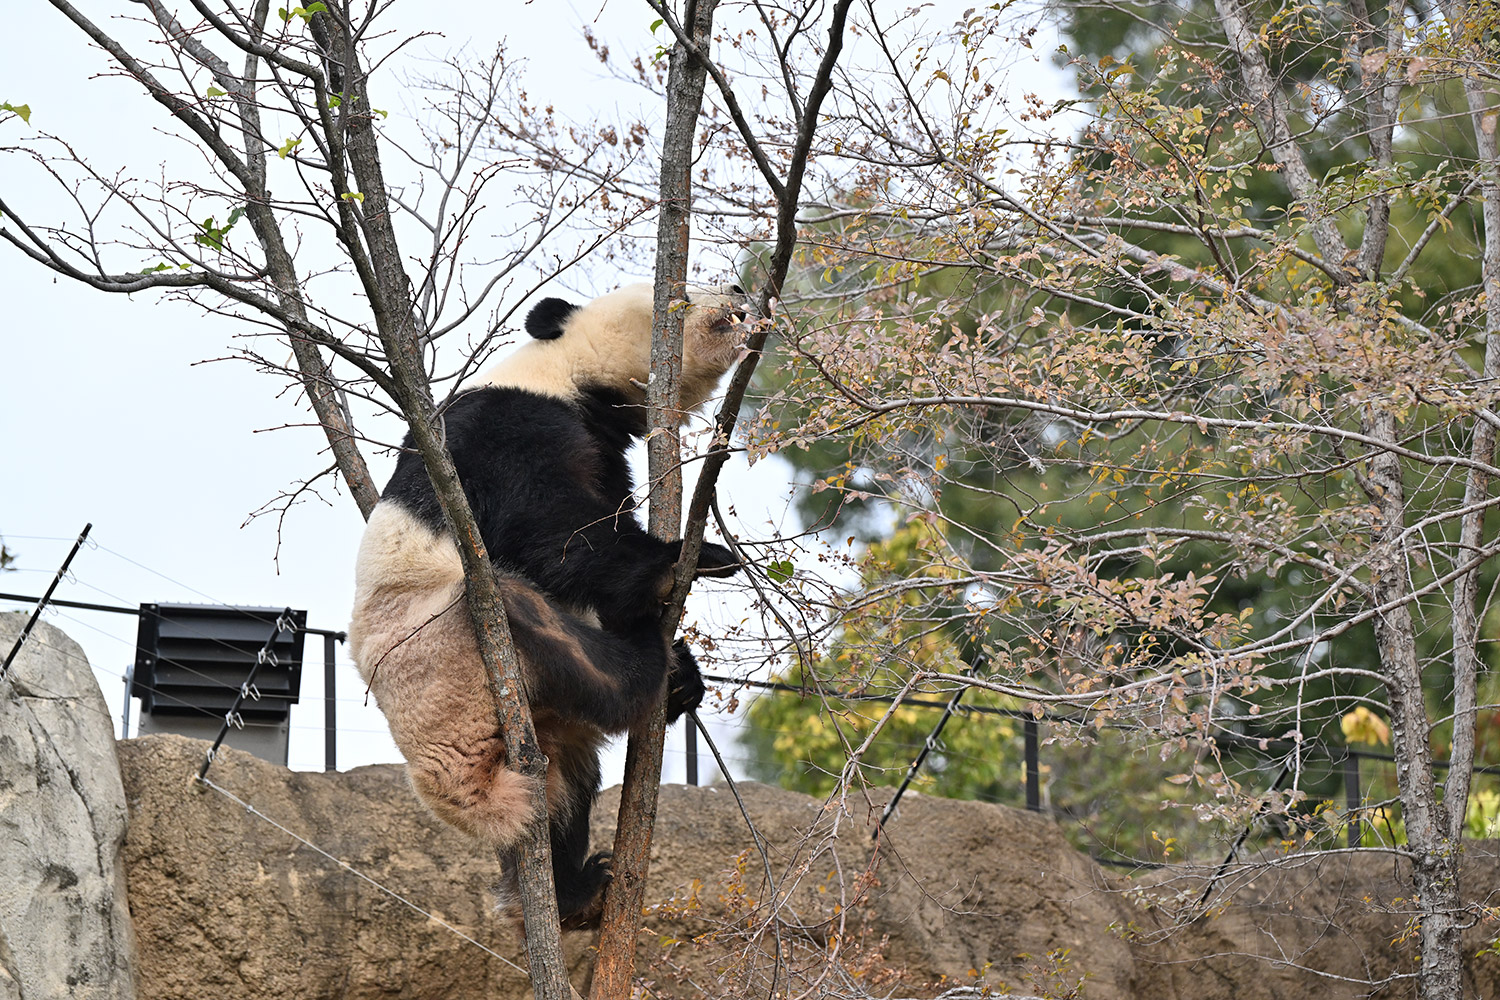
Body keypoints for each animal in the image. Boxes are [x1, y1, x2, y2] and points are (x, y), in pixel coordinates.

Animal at [348, 281, 749, 926]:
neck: (565, 374)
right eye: (677, 295)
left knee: (567, 791)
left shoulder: (604, 452)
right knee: (554, 634)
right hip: (456, 652)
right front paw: (684, 558)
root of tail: (451, 782)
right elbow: (546, 528)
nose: (737, 289)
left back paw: (575, 891)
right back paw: (652, 667)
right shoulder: (502, 428)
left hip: (540, 729)